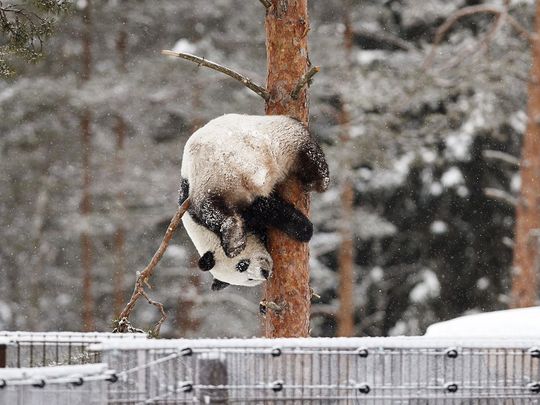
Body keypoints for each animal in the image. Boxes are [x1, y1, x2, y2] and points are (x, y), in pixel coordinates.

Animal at [179, 113, 330, 288]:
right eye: (248, 279)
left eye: (242, 265)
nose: (264, 273)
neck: (203, 235)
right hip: (277, 142)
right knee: (308, 155)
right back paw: (318, 182)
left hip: (208, 177)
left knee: (210, 208)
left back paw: (233, 242)